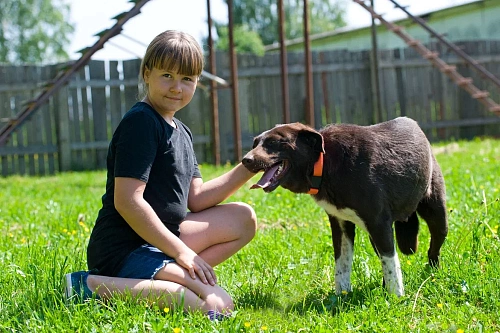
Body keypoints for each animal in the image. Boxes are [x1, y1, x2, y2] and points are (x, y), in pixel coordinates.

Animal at [243, 117, 450, 296]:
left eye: (275, 142)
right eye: (255, 144)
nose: (245, 160)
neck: (324, 163)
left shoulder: (379, 223)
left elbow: (391, 263)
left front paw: (396, 297)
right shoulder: (340, 223)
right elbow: (342, 264)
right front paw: (342, 295)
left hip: (436, 214)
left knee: (433, 248)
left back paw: (432, 274)